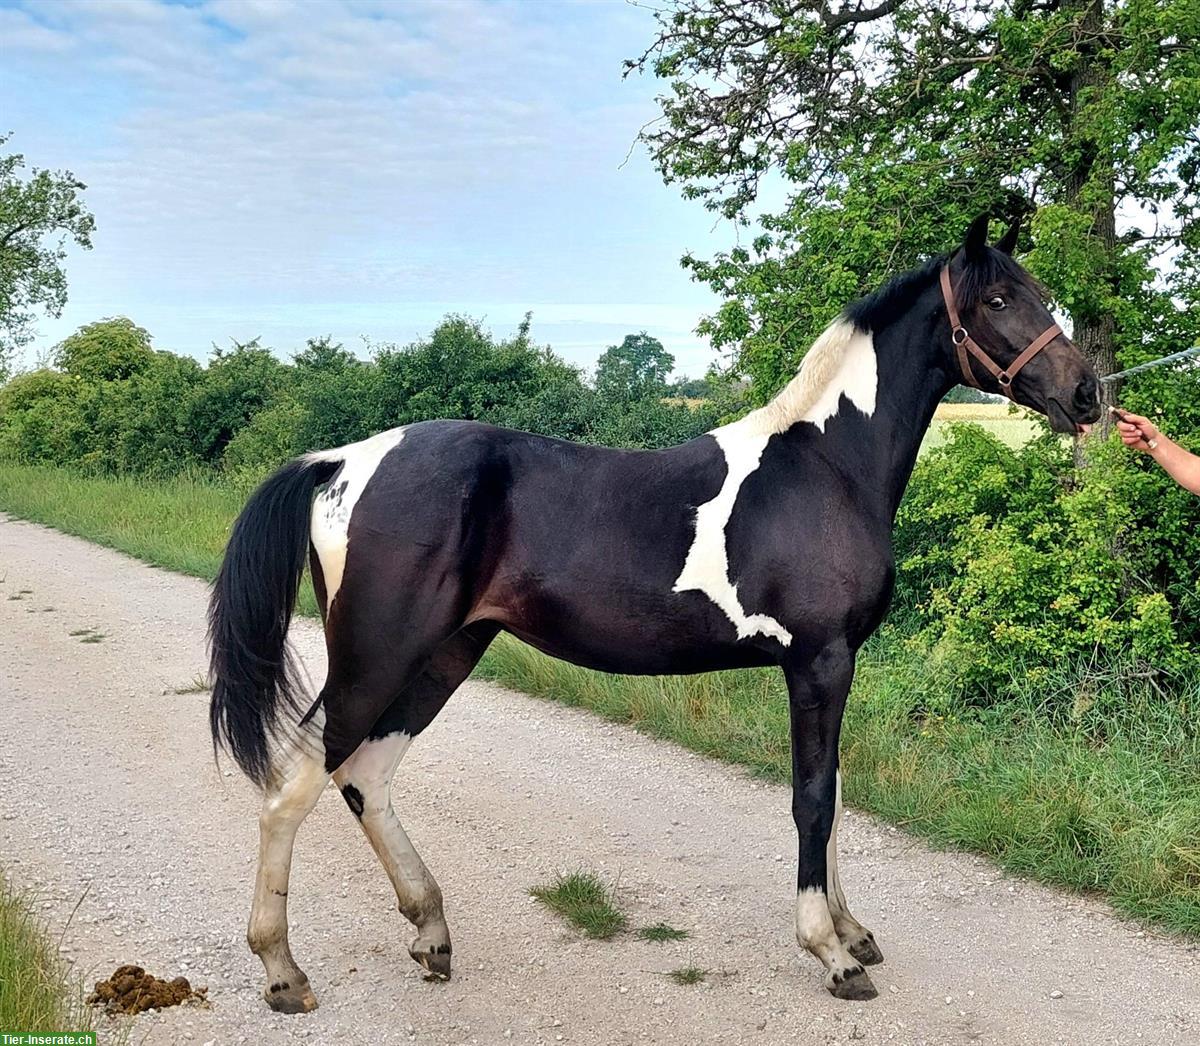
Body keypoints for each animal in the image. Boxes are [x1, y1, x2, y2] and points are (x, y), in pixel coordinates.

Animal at [206, 217, 1099, 1007]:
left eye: (1039, 294)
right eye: (998, 300)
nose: (1086, 393)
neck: (824, 466)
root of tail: (340, 463)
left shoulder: (833, 664)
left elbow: (837, 797)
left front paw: (853, 930)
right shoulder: (818, 661)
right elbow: (813, 798)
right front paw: (833, 953)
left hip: (448, 651)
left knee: (366, 775)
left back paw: (431, 934)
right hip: (376, 656)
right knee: (293, 785)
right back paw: (283, 972)